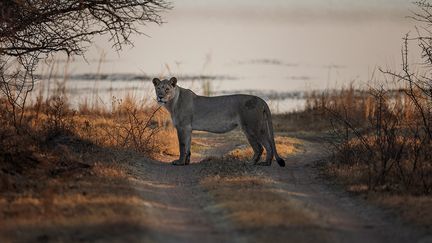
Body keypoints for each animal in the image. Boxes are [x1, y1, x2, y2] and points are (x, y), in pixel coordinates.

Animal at [154, 76, 286, 167]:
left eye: (167, 89)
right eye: (158, 88)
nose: (160, 96)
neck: (172, 103)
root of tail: (261, 100)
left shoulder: (183, 127)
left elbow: (182, 146)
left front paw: (180, 162)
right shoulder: (188, 128)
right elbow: (188, 147)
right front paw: (186, 162)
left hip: (252, 127)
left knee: (261, 147)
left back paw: (253, 163)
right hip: (259, 127)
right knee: (266, 145)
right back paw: (263, 163)